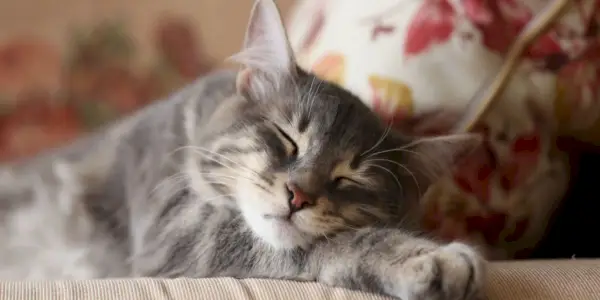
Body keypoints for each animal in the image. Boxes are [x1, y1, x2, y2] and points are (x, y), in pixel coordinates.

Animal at [0, 0, 486, 300]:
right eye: (288, 139)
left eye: (349, 177)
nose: (299, 195)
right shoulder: (175, 229)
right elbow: (334, 243)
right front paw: (428, 257)